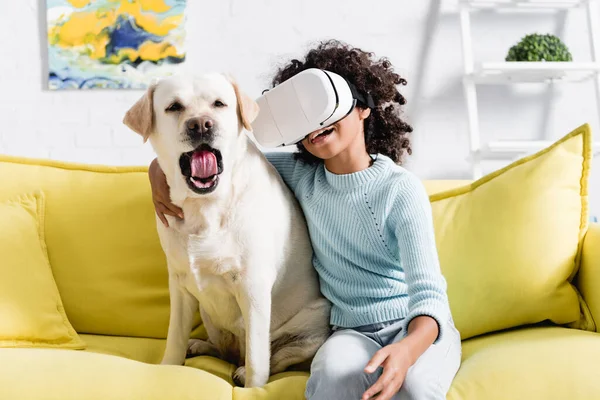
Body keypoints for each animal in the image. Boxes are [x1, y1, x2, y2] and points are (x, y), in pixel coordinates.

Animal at [121, 75, 328, 388]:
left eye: (219, 104)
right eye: (174, 107)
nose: (200, 124)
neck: (205, 207)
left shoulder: (253, 287)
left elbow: (258, 359)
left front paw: (253, 388)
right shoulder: (179, 285)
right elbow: (174, 337)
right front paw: (169, 368)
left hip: (312, 326)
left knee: (274, 356)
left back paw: (241, 370)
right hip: (209, 317)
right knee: (222, 348)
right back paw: (200, 346)